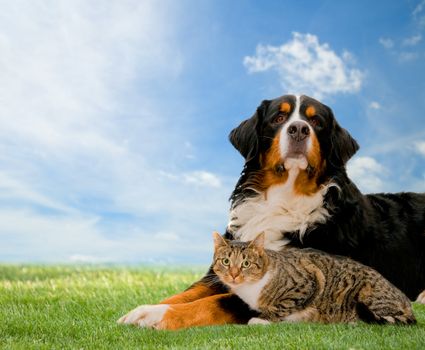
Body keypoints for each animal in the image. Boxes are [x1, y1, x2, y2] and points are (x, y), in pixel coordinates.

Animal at [211, 231, 414, 324]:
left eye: (246, 264)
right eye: (226, 261)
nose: (234, 275)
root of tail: (406, 301)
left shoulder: (309, 279)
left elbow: (283, 305)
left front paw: (261, 319)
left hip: (369, 294)